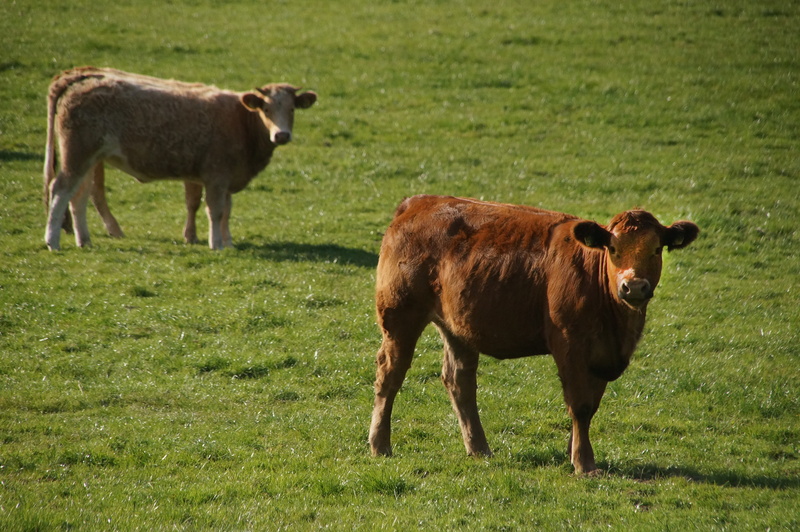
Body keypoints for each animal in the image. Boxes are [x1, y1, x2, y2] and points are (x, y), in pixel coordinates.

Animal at [43, 67, 317, 250]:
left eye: (292, 109)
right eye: (266, 109)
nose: (281, 135)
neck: (241, 121)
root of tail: (78, 81)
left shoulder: (227, 177)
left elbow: (227, 211)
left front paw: (227, 242)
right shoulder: (216, 176)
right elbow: (215, 210)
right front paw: (216, 244)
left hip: (89, 159)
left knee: (79, 196)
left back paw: (84, 240)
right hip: (77, 154)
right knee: (60, 189)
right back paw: (52, 241)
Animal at [369, 195, 699, 475]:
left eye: (656, 249)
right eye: (613, 249)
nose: (634, 287)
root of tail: (419, 202)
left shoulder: (602, 354)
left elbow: (591, 407)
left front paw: (574, 452)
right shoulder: (570, 345)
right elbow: (580, 405)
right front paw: (584, 462)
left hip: (457, 327)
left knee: (459, 381)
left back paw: (479, 448)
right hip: (399, 317)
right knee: (390, 375)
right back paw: (380, 445)